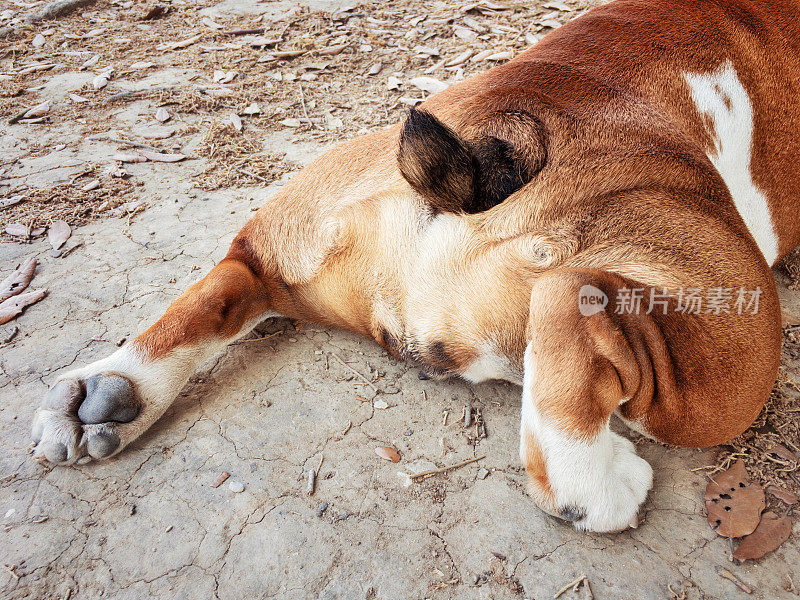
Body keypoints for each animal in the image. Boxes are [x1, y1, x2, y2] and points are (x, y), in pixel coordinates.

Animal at [29, 0, 800, 536]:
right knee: (570, 293)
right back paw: (595, 484)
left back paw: (107, 392)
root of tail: (491, 149)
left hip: (301, 231)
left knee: (226, 280)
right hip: (737, 328)